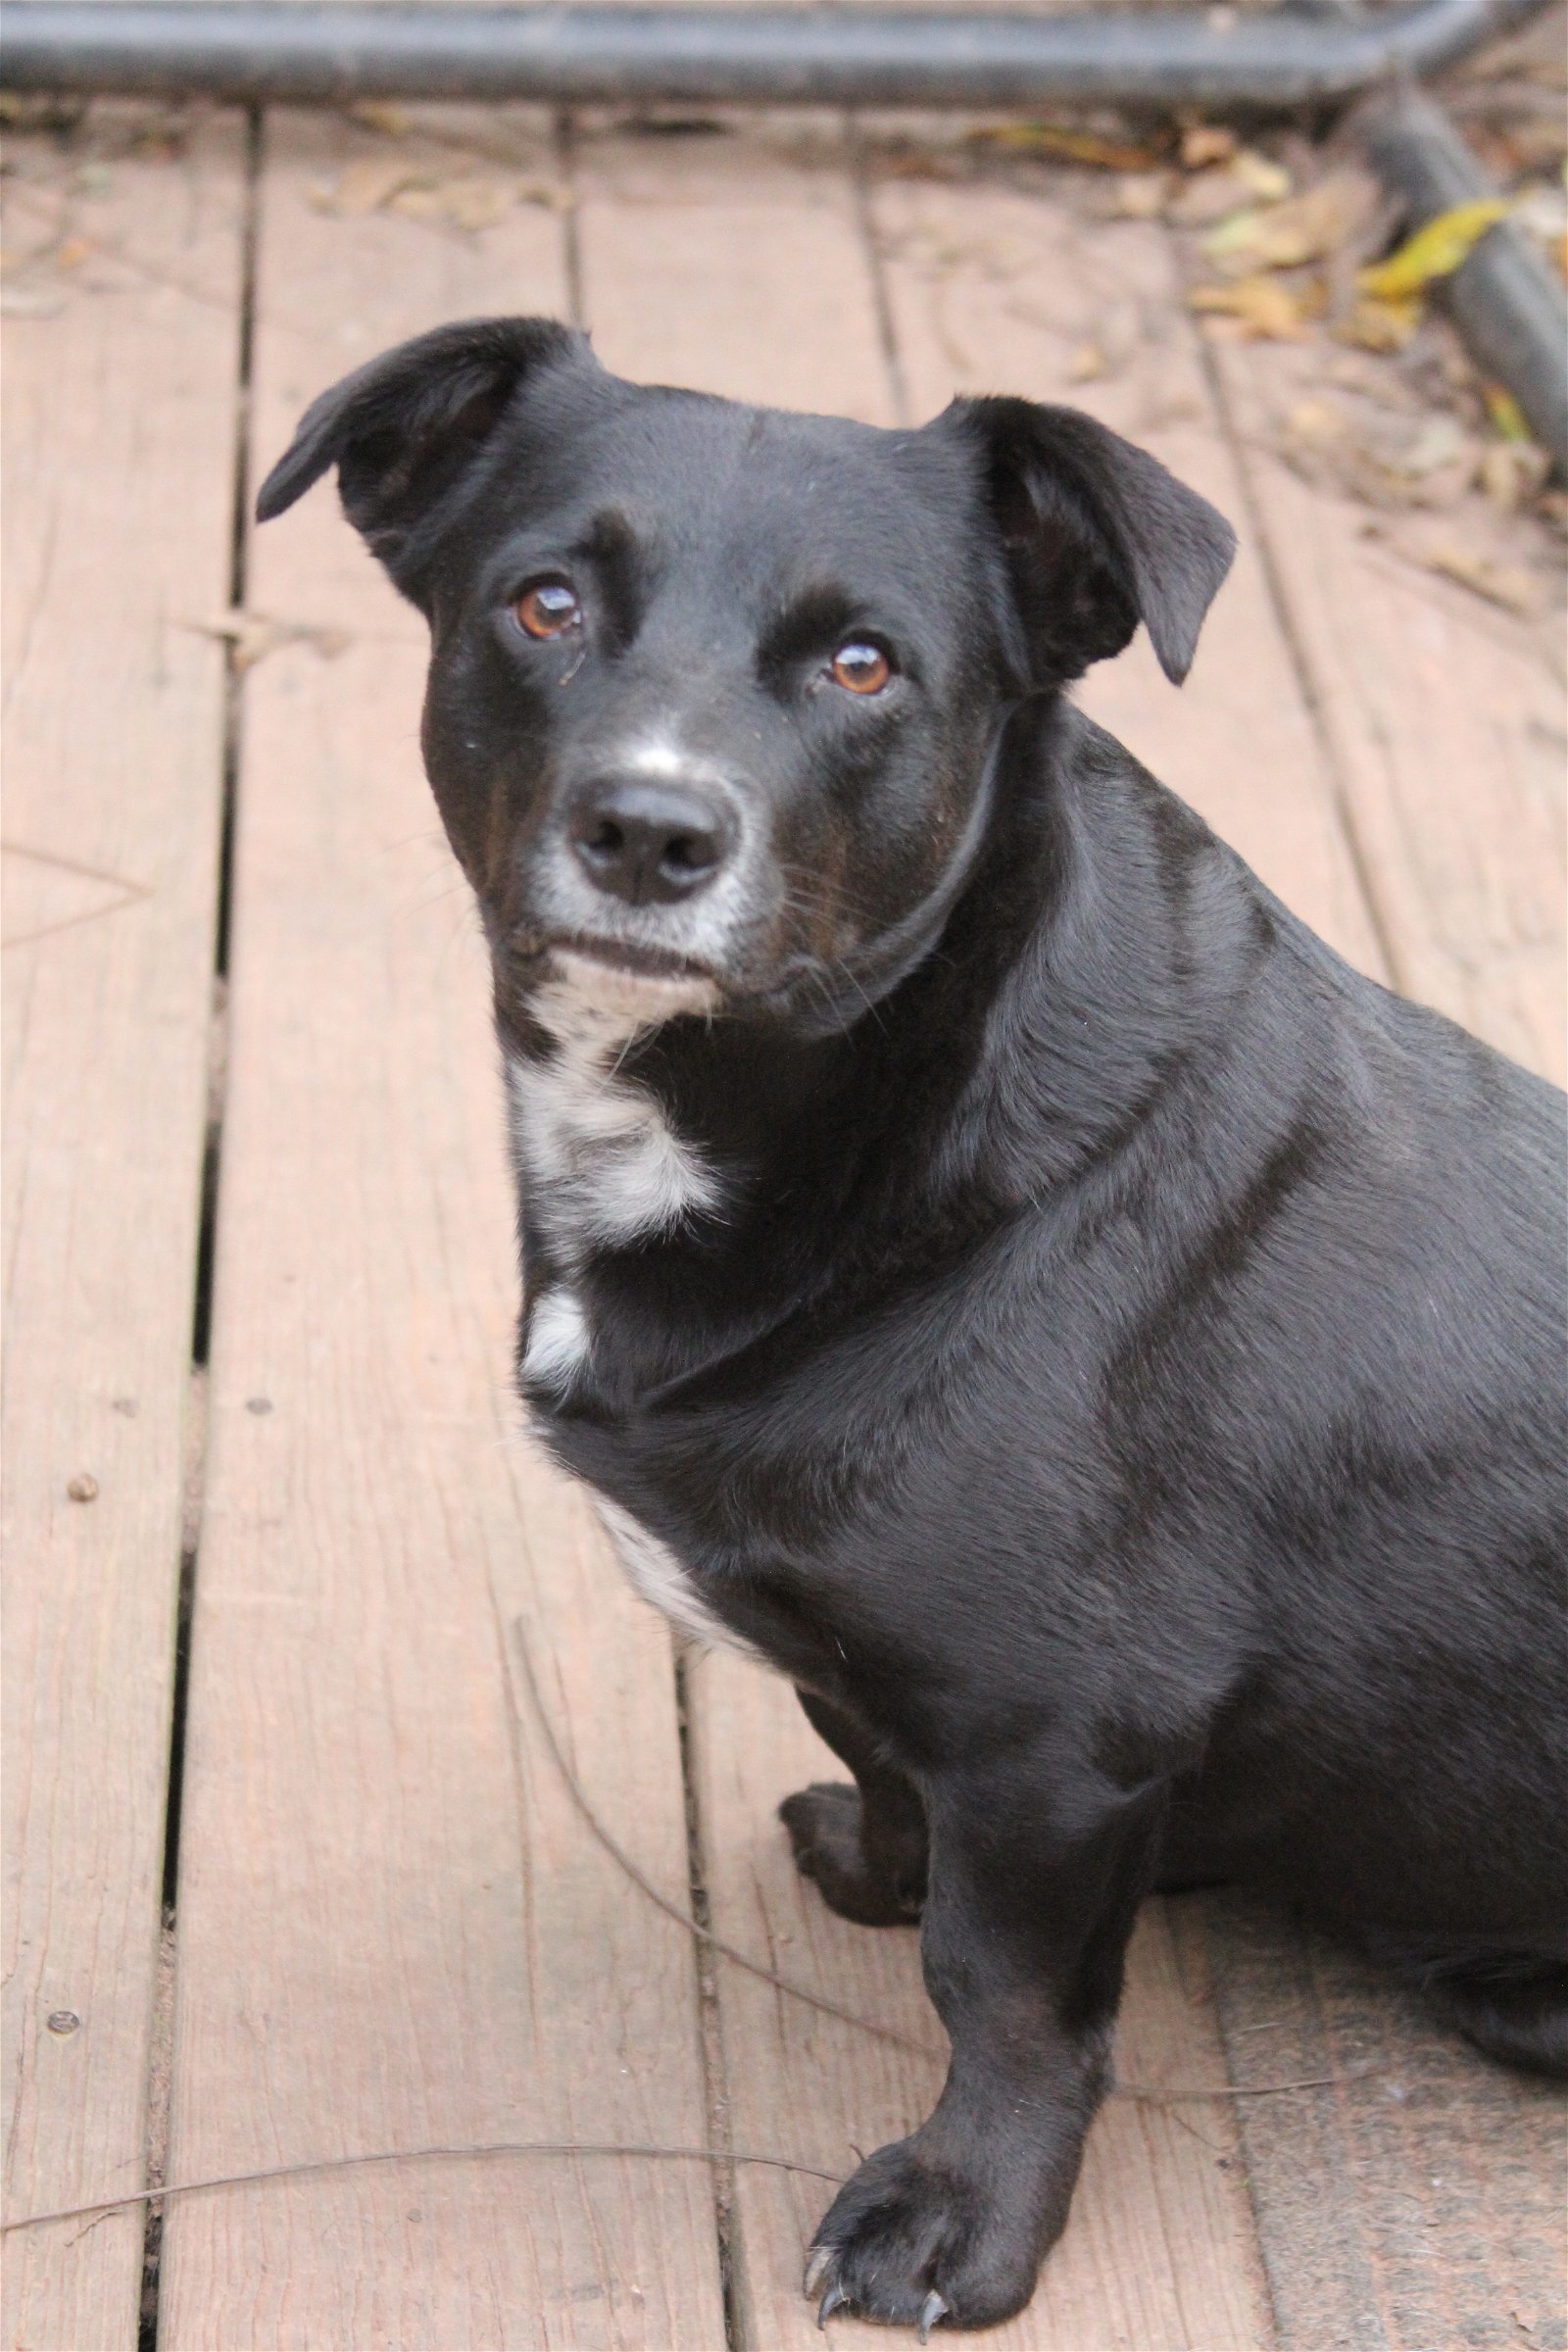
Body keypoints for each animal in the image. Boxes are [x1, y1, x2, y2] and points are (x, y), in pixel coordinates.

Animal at [261, 326, 1568, 2332]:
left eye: (864, 663)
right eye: (544, 603)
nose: (649, 831)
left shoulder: (1054, 1737)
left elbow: (1008, 1998)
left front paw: (964, 2218)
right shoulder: (917, 1693)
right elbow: (886, 1775)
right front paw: (871, 1865)